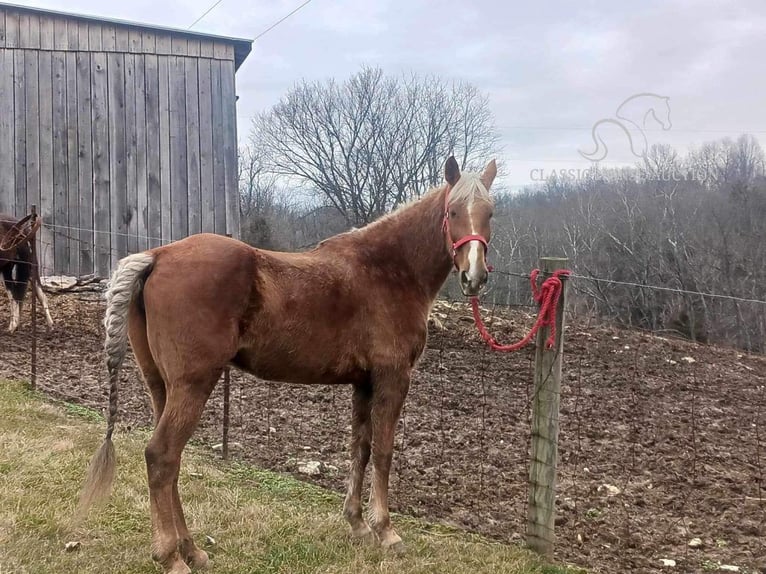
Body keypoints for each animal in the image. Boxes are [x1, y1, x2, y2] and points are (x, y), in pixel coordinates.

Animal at [76, 155, 498, 572]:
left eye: (490, 213)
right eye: (453, 211)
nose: (474, 276)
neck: (387, 271)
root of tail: (158, 256)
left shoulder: (364, 382)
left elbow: (360, 448)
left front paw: (357, 523)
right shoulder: (393, 378)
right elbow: (383, 451)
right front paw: (386, 531)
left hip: (161, 385)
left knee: (171, 462)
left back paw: (191, 550)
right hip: (192, 385)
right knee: (161, 456)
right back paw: (172, 558)